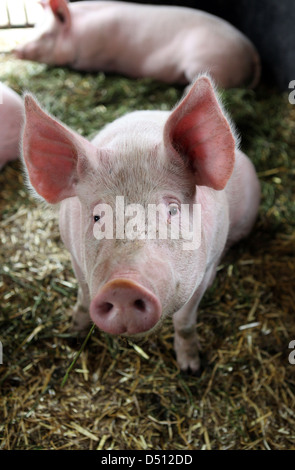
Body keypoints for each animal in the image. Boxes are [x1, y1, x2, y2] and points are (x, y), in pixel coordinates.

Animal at [22, 76, 260, 370]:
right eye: (97, 216)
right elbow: (84, 296)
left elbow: (184, 320)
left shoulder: (206, 263)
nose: (123, 285)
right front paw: (74, 335)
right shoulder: (73, 252)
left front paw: (191, 368)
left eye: (172, 209)